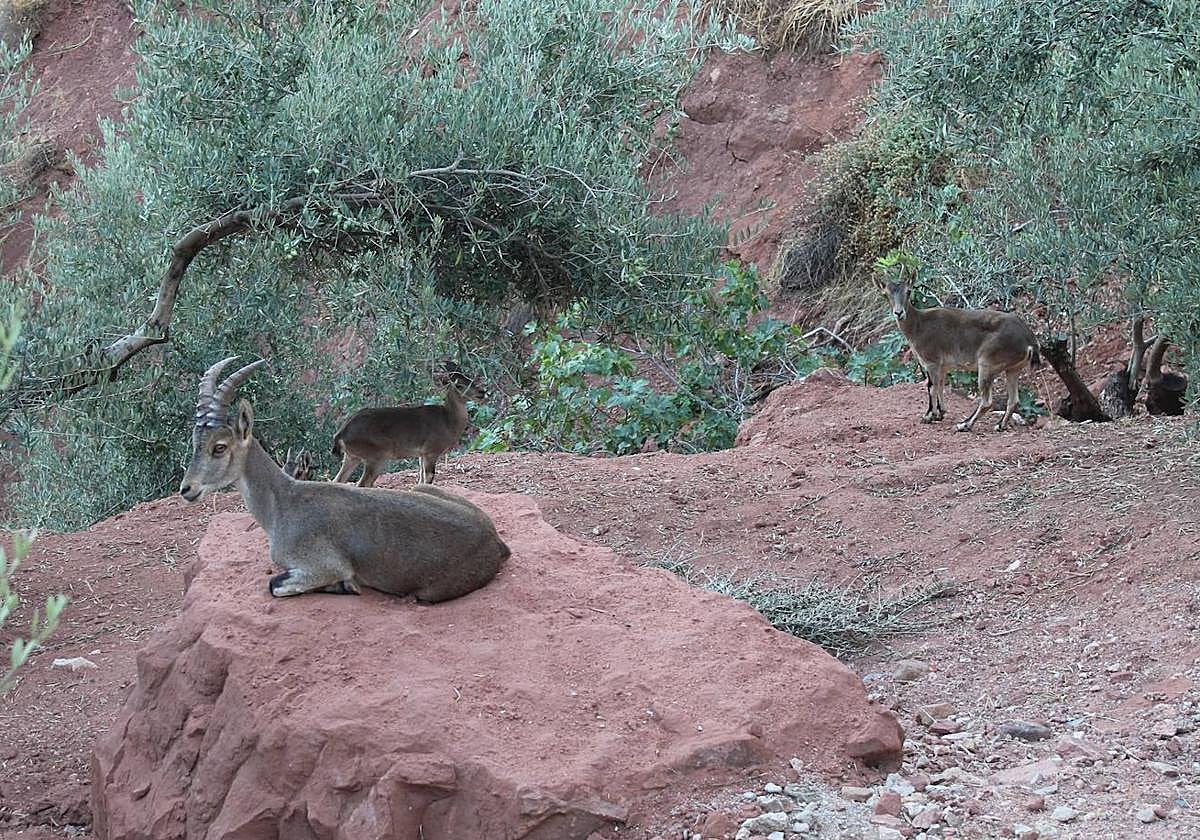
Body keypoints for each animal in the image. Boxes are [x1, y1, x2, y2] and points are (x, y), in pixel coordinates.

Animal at [330, 363, 480, 487]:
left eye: (469, 378)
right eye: (459, 385)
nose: (482, 393)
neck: (447, 420)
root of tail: (341, 434)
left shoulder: (421, 454)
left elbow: (421, 478)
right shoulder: (431, 451)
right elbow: (429, 477)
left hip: (351, 457)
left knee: (338, 480)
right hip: (376, 457)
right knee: (362, 483)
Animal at [883, 278, 1041, 432]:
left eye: (909, 291)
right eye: (886, 294)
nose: (899, 313)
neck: (918, 325)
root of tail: (1029, 341)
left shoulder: (931, 361)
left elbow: (931, 386)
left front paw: (928, 416)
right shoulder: (943, 366)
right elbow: (940, 385)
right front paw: (940, 413)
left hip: (988, 363)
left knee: (987, 402)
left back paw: (964, 425)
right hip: (1013, 368)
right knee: (1014, 400)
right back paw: (1000, 425)